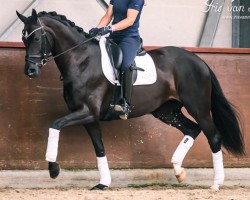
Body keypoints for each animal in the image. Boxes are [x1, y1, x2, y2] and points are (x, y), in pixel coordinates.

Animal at [16, 9, 244, 191]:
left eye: (36, 39)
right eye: (24, 39)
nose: (30, 71)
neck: (81, 60)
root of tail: (198, 60)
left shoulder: (86, 112)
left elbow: (55, 125)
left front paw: (53, 169)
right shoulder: (89, 117)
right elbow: (99, 147)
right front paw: (103, 183)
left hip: (198, 107)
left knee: (213, 137)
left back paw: (216, 183)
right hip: (166, 111)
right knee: (192, 129)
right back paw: (179, 172)